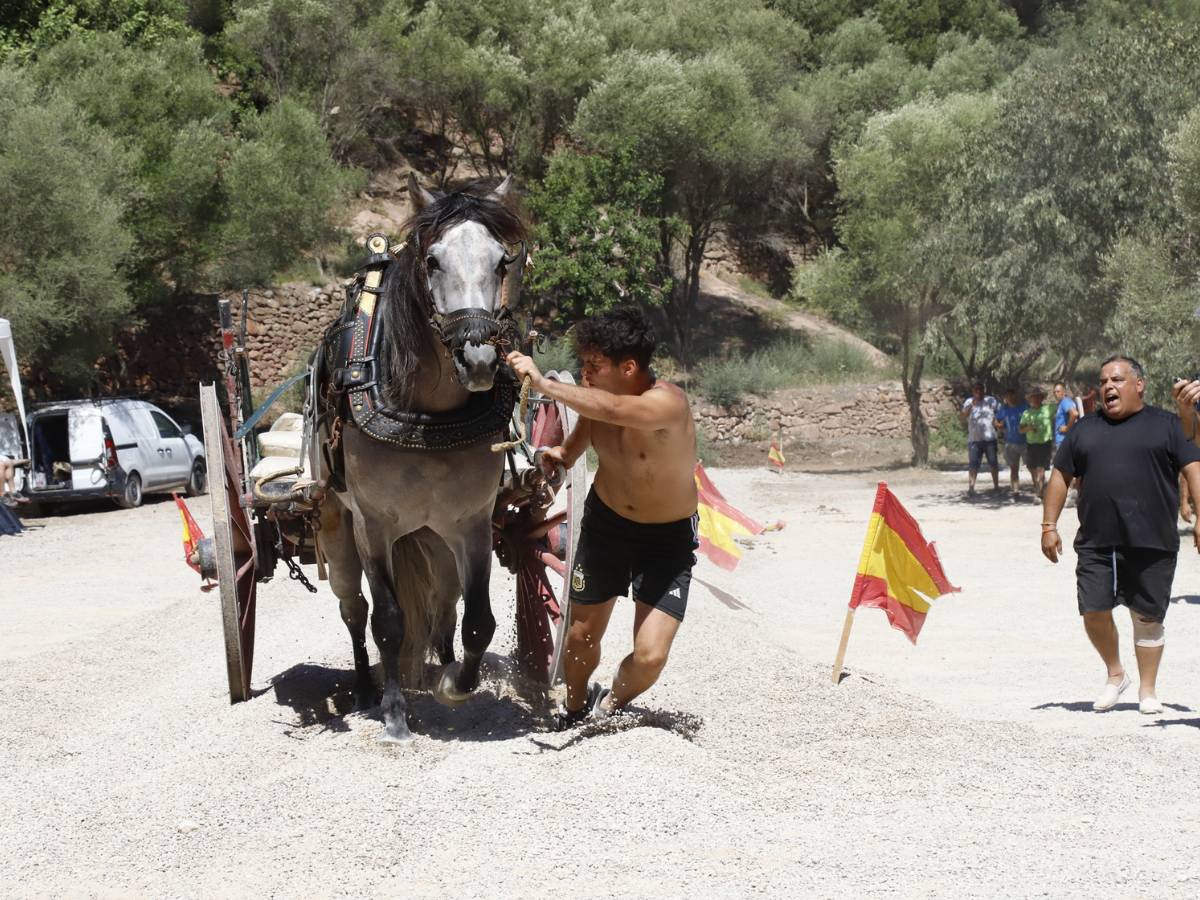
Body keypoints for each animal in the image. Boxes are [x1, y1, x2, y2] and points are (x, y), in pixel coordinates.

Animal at [314, 176, 525, 748]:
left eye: (502, 261)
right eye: (432, 260)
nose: (478, 358)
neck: (426, 416)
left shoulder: (471, 523)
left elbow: (477, 619)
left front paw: (454, 684)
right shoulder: (373, 526)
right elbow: (389, 620)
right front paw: (394, 714)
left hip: (434, 536)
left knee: (443, 606)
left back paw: (437, 667)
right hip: (338, 529)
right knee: (354, 610)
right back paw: (367, 689)